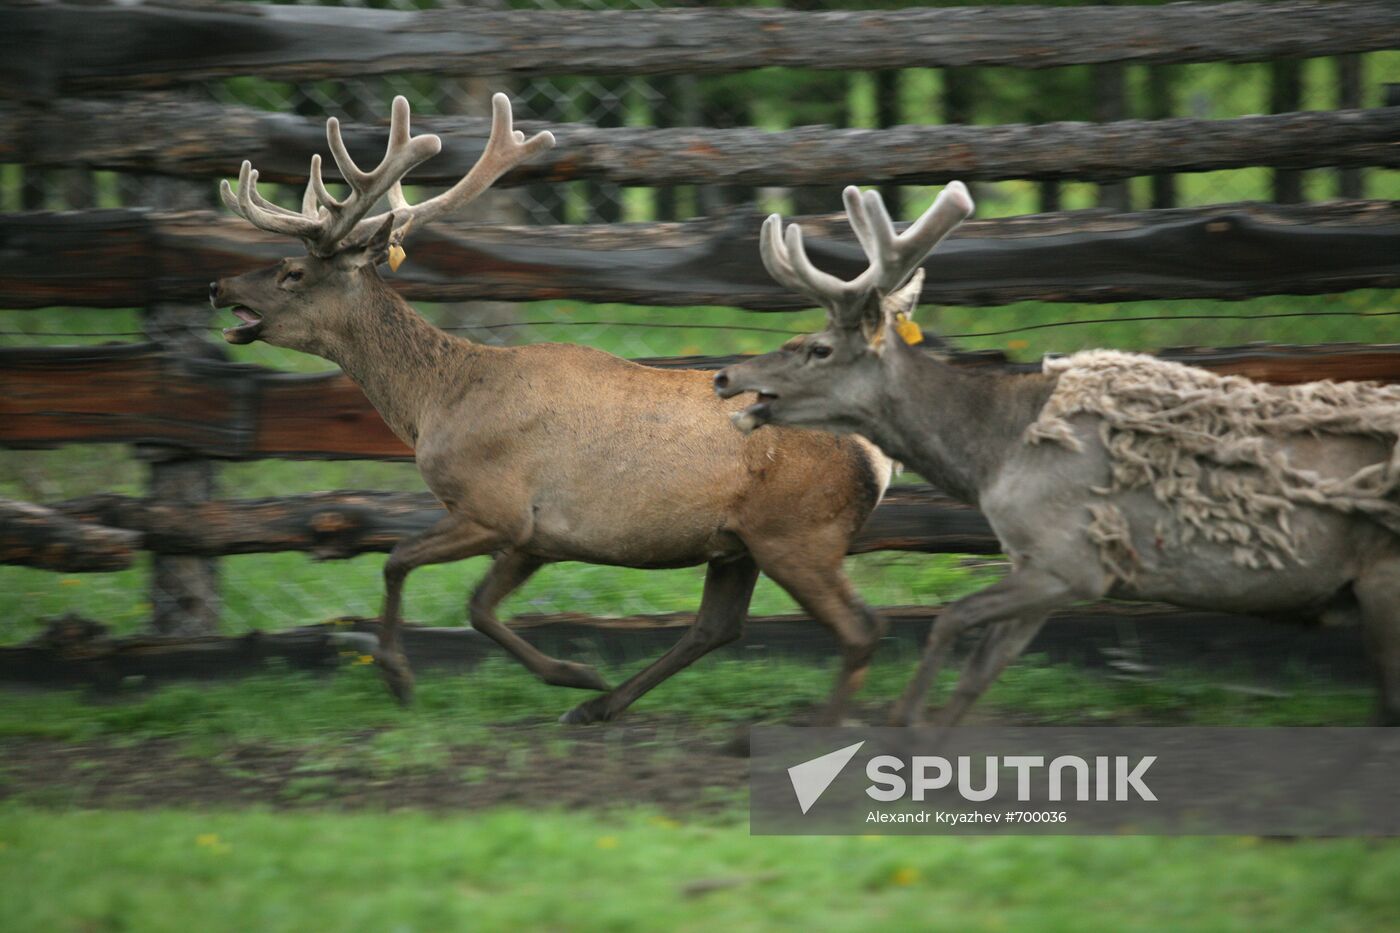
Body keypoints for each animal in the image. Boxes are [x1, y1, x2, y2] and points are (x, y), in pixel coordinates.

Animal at [208, 92, 890, 717]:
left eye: (293, 273)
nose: (217, 283)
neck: (437, 403)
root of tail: (875, 456)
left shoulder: (495, 506)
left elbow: (397, 562)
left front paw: (399, 677)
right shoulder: (537, 535)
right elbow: (478, 607)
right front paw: (574, 673)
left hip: (796, 532)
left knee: (858, 629)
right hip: (738, 540)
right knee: (717, 626)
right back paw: (601, 704)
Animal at [716, 183, 1400, 728]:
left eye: (820, 349)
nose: (726, 375)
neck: (992, 455)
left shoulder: (1070, 557)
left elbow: (949, 621)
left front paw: (902, 722)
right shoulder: (1038, 565)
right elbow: (979, 672)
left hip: (1383, 574)